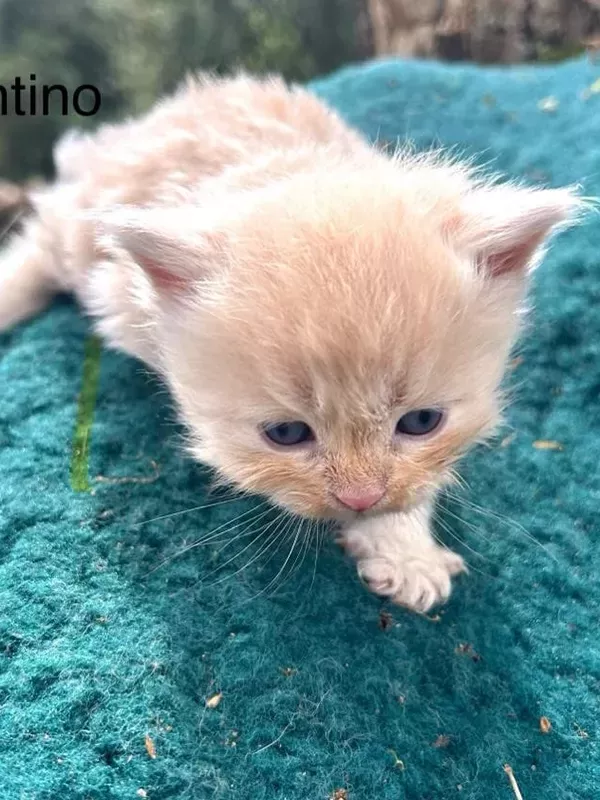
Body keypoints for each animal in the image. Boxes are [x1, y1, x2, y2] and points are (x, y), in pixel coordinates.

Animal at [0, 75, 580, 612]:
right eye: (286, 433)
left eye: (420, 422)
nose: (359, 497)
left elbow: (414, 484)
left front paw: (403, 548)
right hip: (74, 227)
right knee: (39, 245)